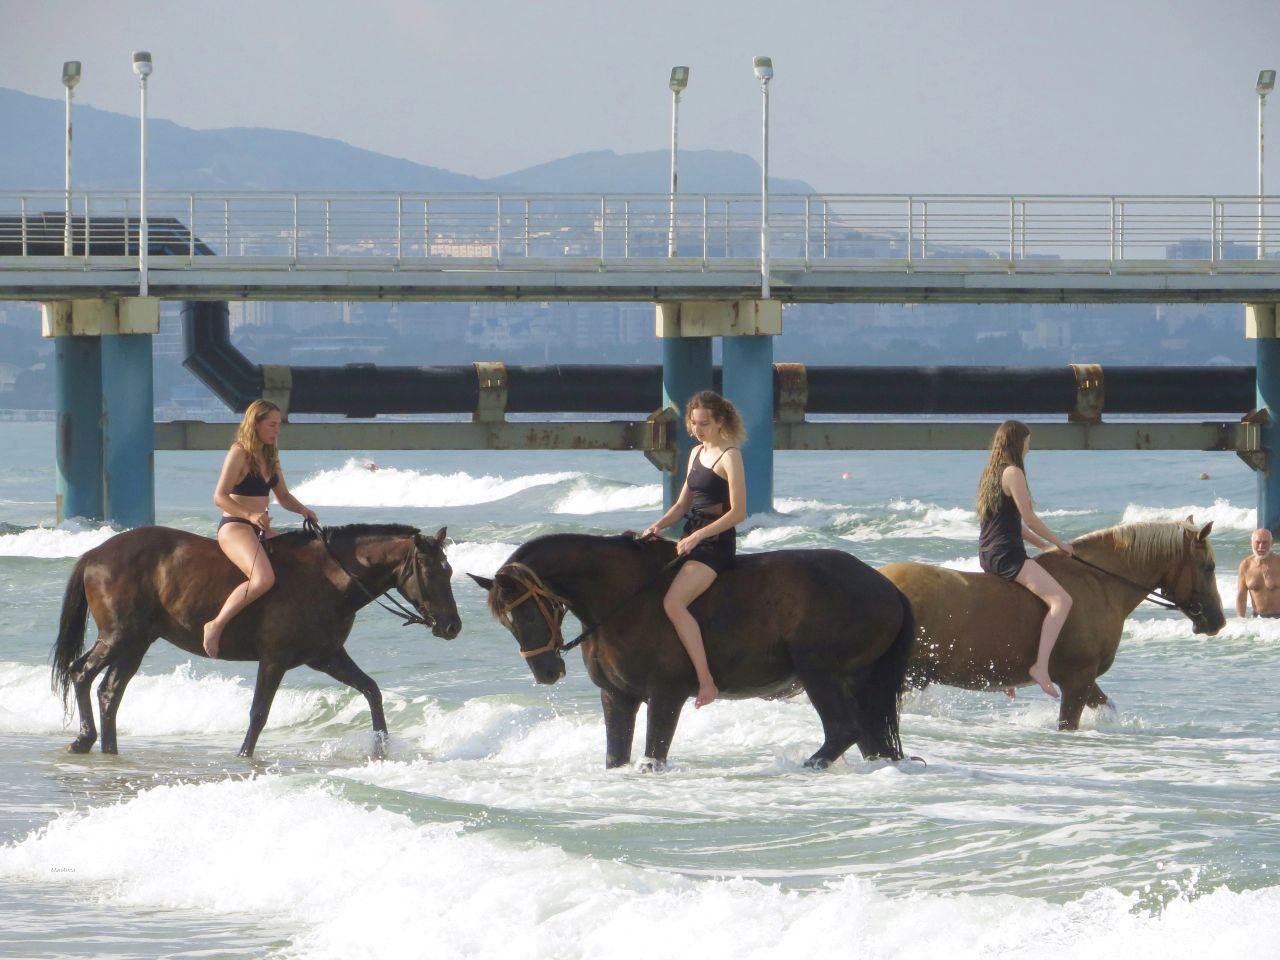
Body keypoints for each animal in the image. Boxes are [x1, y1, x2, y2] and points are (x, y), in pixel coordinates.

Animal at [49, 527, 460, 757]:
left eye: (450, 569)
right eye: (429, 571)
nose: (452, 626)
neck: (328, 577)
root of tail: (95, 554)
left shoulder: (326, 656)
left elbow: (372, 691)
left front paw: (381, 747)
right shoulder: (275, 660)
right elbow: (259, 713)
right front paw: (244, 755)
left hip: (136, 643)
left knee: (110, 692)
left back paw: (107, 748)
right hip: (119, 637)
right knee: (82, 674)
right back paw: (84, 740)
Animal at [476, 535, 916, 773]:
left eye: (527, 611)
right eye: (506, 622)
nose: (546, 672)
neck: (625, 598)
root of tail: (886, 586)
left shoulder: (665, 695)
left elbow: (654, 754)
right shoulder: (616, 696)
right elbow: (616, 756)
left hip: (819, 674)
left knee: (843, 731)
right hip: (857, 682)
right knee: (871, 740)